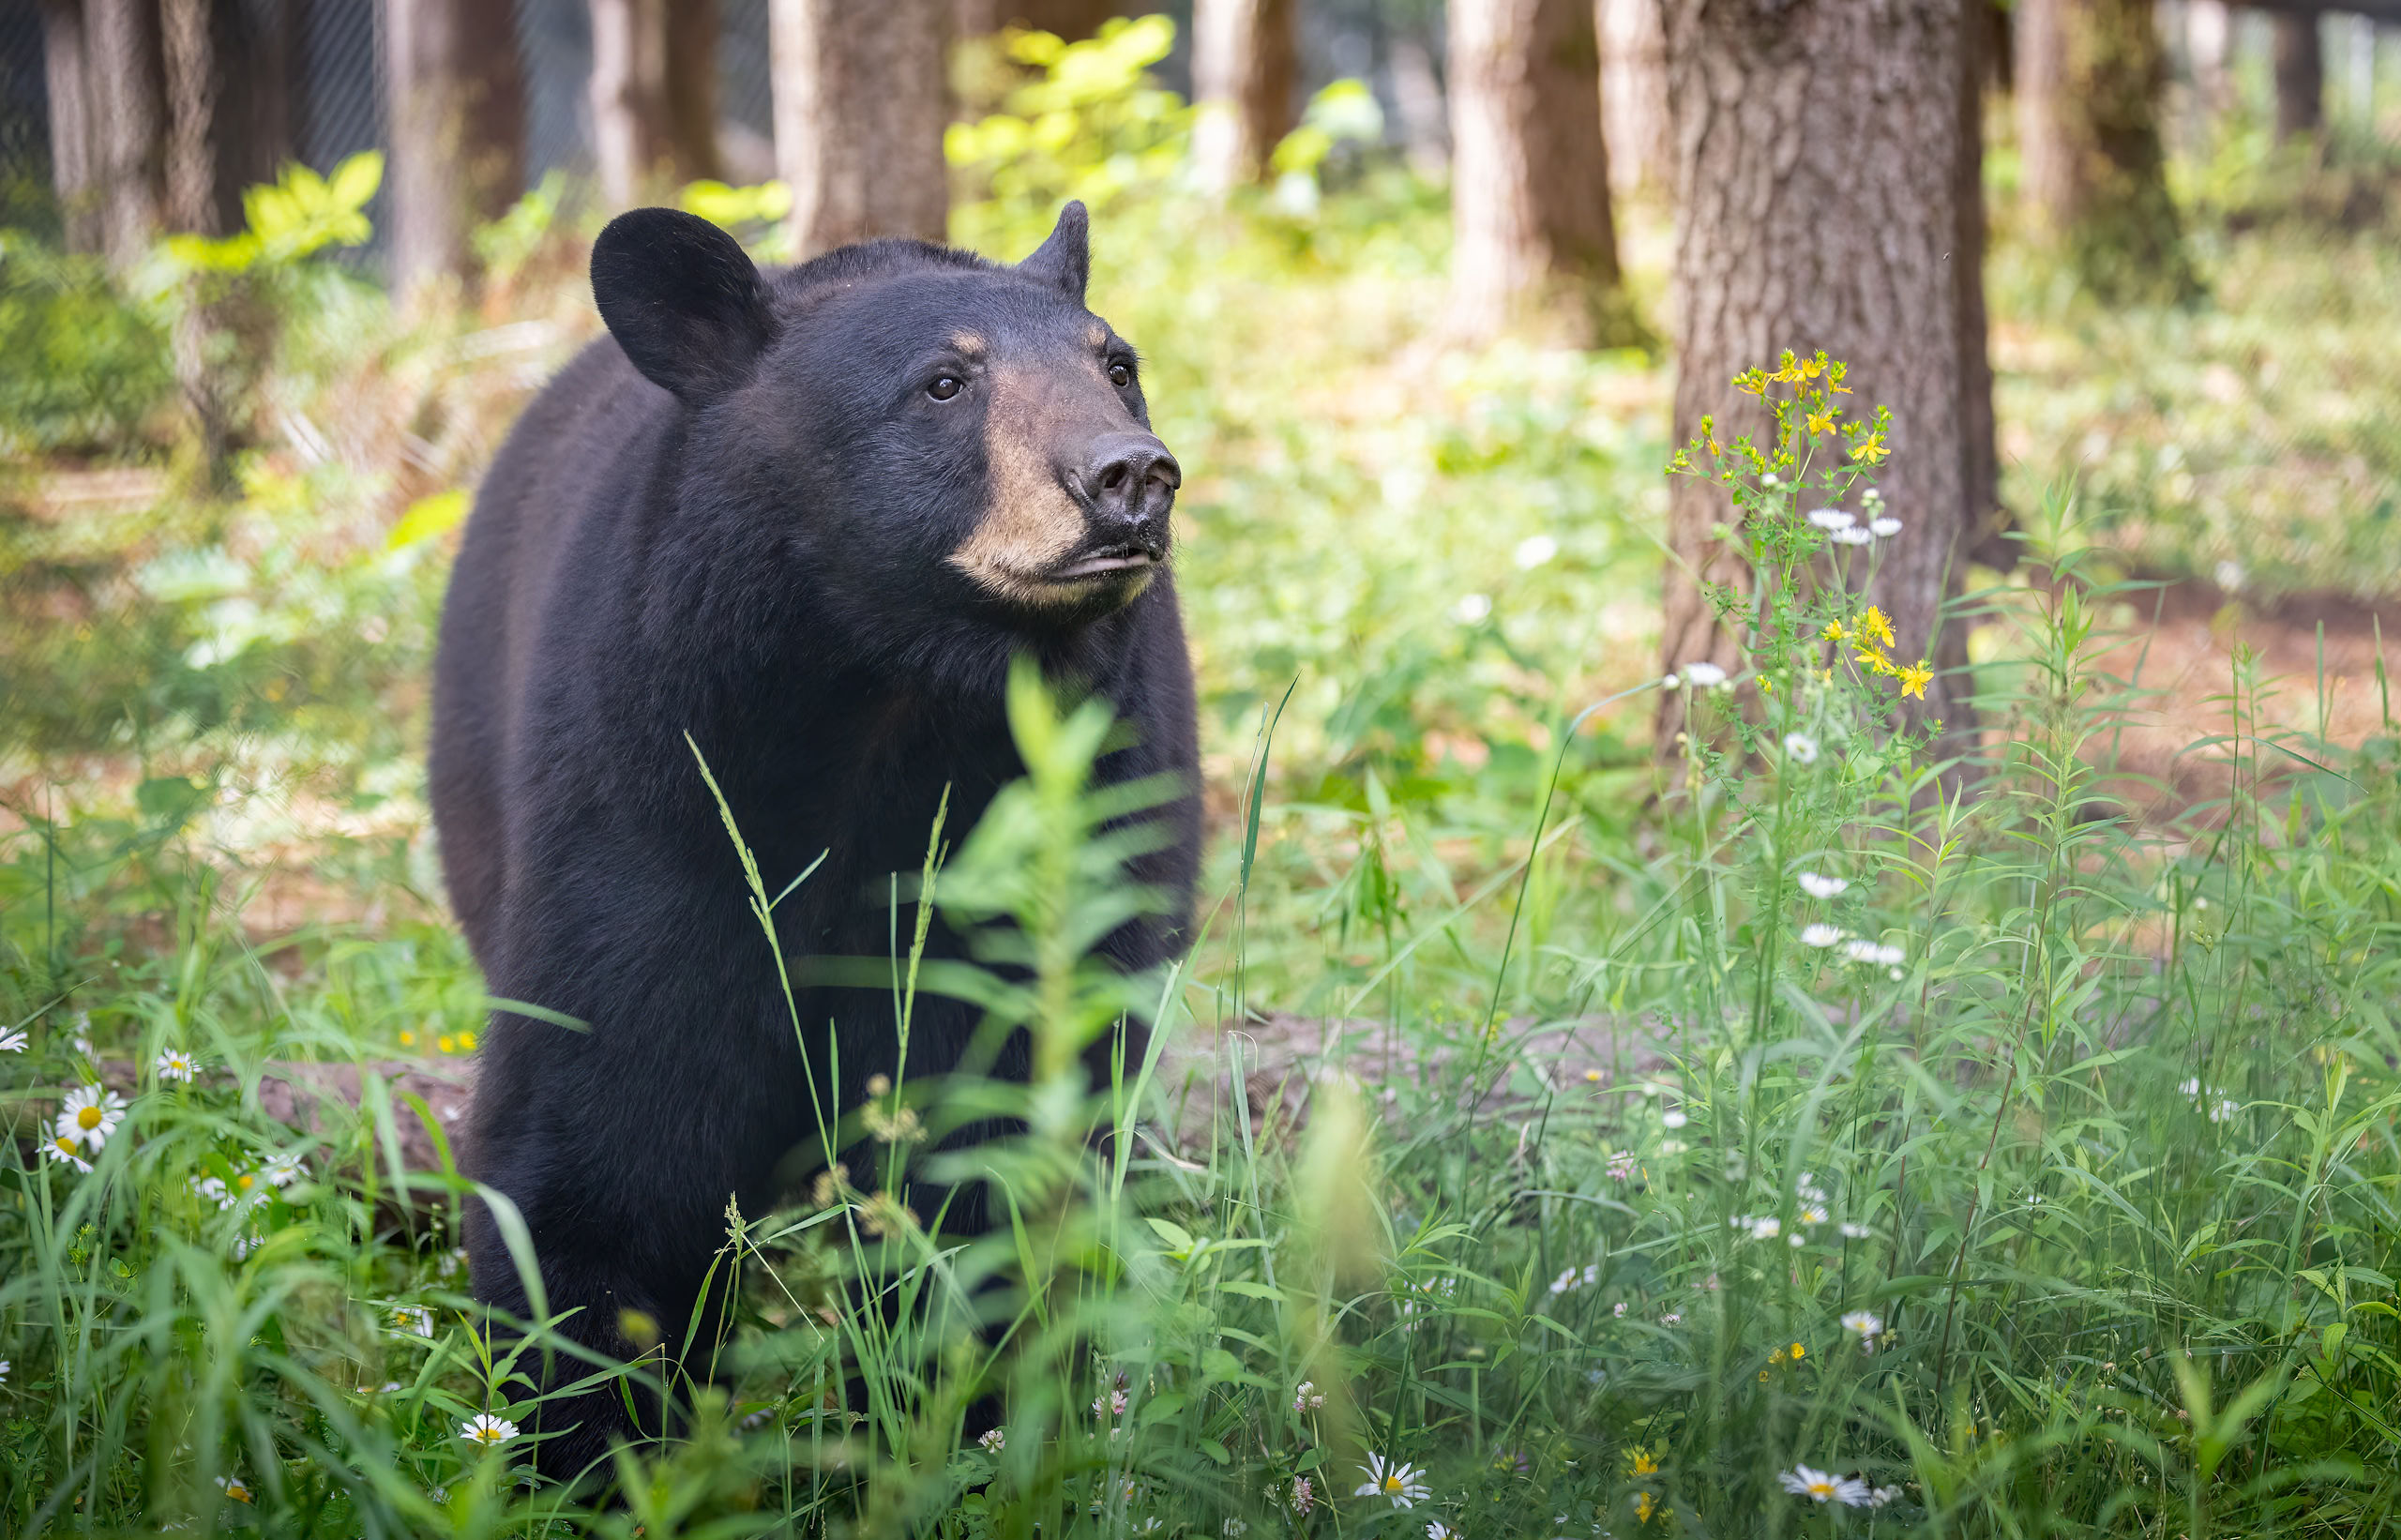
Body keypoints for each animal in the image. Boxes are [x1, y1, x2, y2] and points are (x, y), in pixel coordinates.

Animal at [427, 204, 1200, 1479]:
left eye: (1118, 364)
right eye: (944, 382)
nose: (1129, 474)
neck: (892, 690)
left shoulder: (1055, 821)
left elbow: (983, 1159)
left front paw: (955, 1441)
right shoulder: (652, 796)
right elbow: (606, 1143)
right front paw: (594, 1461)